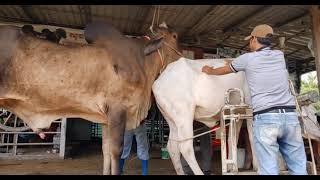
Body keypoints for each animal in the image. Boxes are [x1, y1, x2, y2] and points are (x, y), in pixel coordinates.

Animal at [0, 22, 181, 174]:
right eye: (175, 36)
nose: (183, 58)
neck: (142, 61)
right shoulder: (118, 111)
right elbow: (116, 151)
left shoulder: (106, 119)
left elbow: (106, 151)